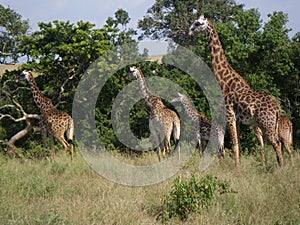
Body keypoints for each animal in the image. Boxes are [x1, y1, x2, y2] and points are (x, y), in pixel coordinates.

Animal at [189, 14, 284, 166]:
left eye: (198, 23)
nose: (190, 32)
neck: (225, 81)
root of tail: (277, 110)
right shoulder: (238, 119)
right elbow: (238, 143)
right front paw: (237, 166)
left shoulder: (229, 115)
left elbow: (234, 145)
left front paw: (236, 168)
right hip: (268, 125)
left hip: (266, 124)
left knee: (276, 144)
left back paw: (281, 168)